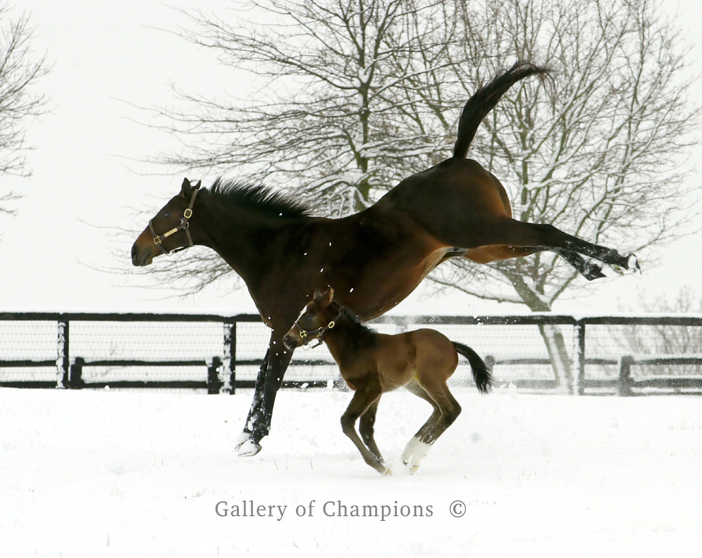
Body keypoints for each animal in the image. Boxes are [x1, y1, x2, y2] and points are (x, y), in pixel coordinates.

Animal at [284, 288, 492, 476]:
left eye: (310, 315)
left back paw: (415, 460)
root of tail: (451, 344)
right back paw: (405, 458)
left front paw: (381, 468)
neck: (356, 347)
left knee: (451, 410)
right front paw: (387, 467)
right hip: (416, 386)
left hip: (431, 380)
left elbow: (347, 421)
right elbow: (366, 430)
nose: (287, 339)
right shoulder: (375, 393)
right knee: (437, 409)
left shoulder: (369, 388)